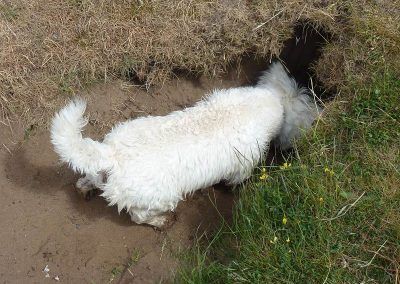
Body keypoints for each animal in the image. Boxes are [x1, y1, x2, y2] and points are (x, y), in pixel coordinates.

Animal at [50, 62, 318, 226]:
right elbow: (236, 180)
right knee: (138, 217)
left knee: (86, 178)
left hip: (99, 170)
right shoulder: (243, 166)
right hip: (162, 198)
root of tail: (111, 154)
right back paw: (160, 222)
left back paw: (84, 189)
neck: (256, 106)